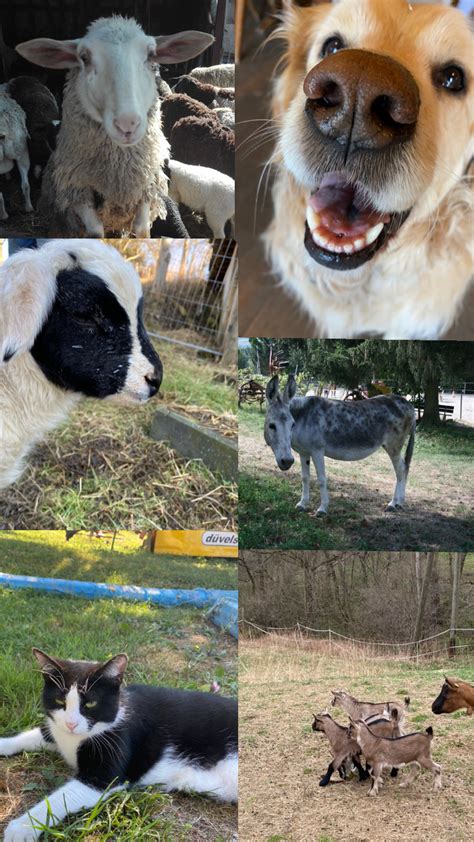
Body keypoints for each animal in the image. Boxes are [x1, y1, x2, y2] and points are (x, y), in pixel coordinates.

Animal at [0, 648, 237, 840]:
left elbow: (64, 796)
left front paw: (22, 827)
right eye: (60, 701)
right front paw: (3, 743)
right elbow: (39, 734)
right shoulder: (57, 731)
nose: (71, 723)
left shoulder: (108, 764)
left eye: (91, 704)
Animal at [15, 18, 213, 235]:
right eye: (84, 57)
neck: (118, 174)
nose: (127, 124)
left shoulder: (146, 186)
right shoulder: (77, 190)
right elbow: (95, 232)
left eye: (150, 55)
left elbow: (141, 228)